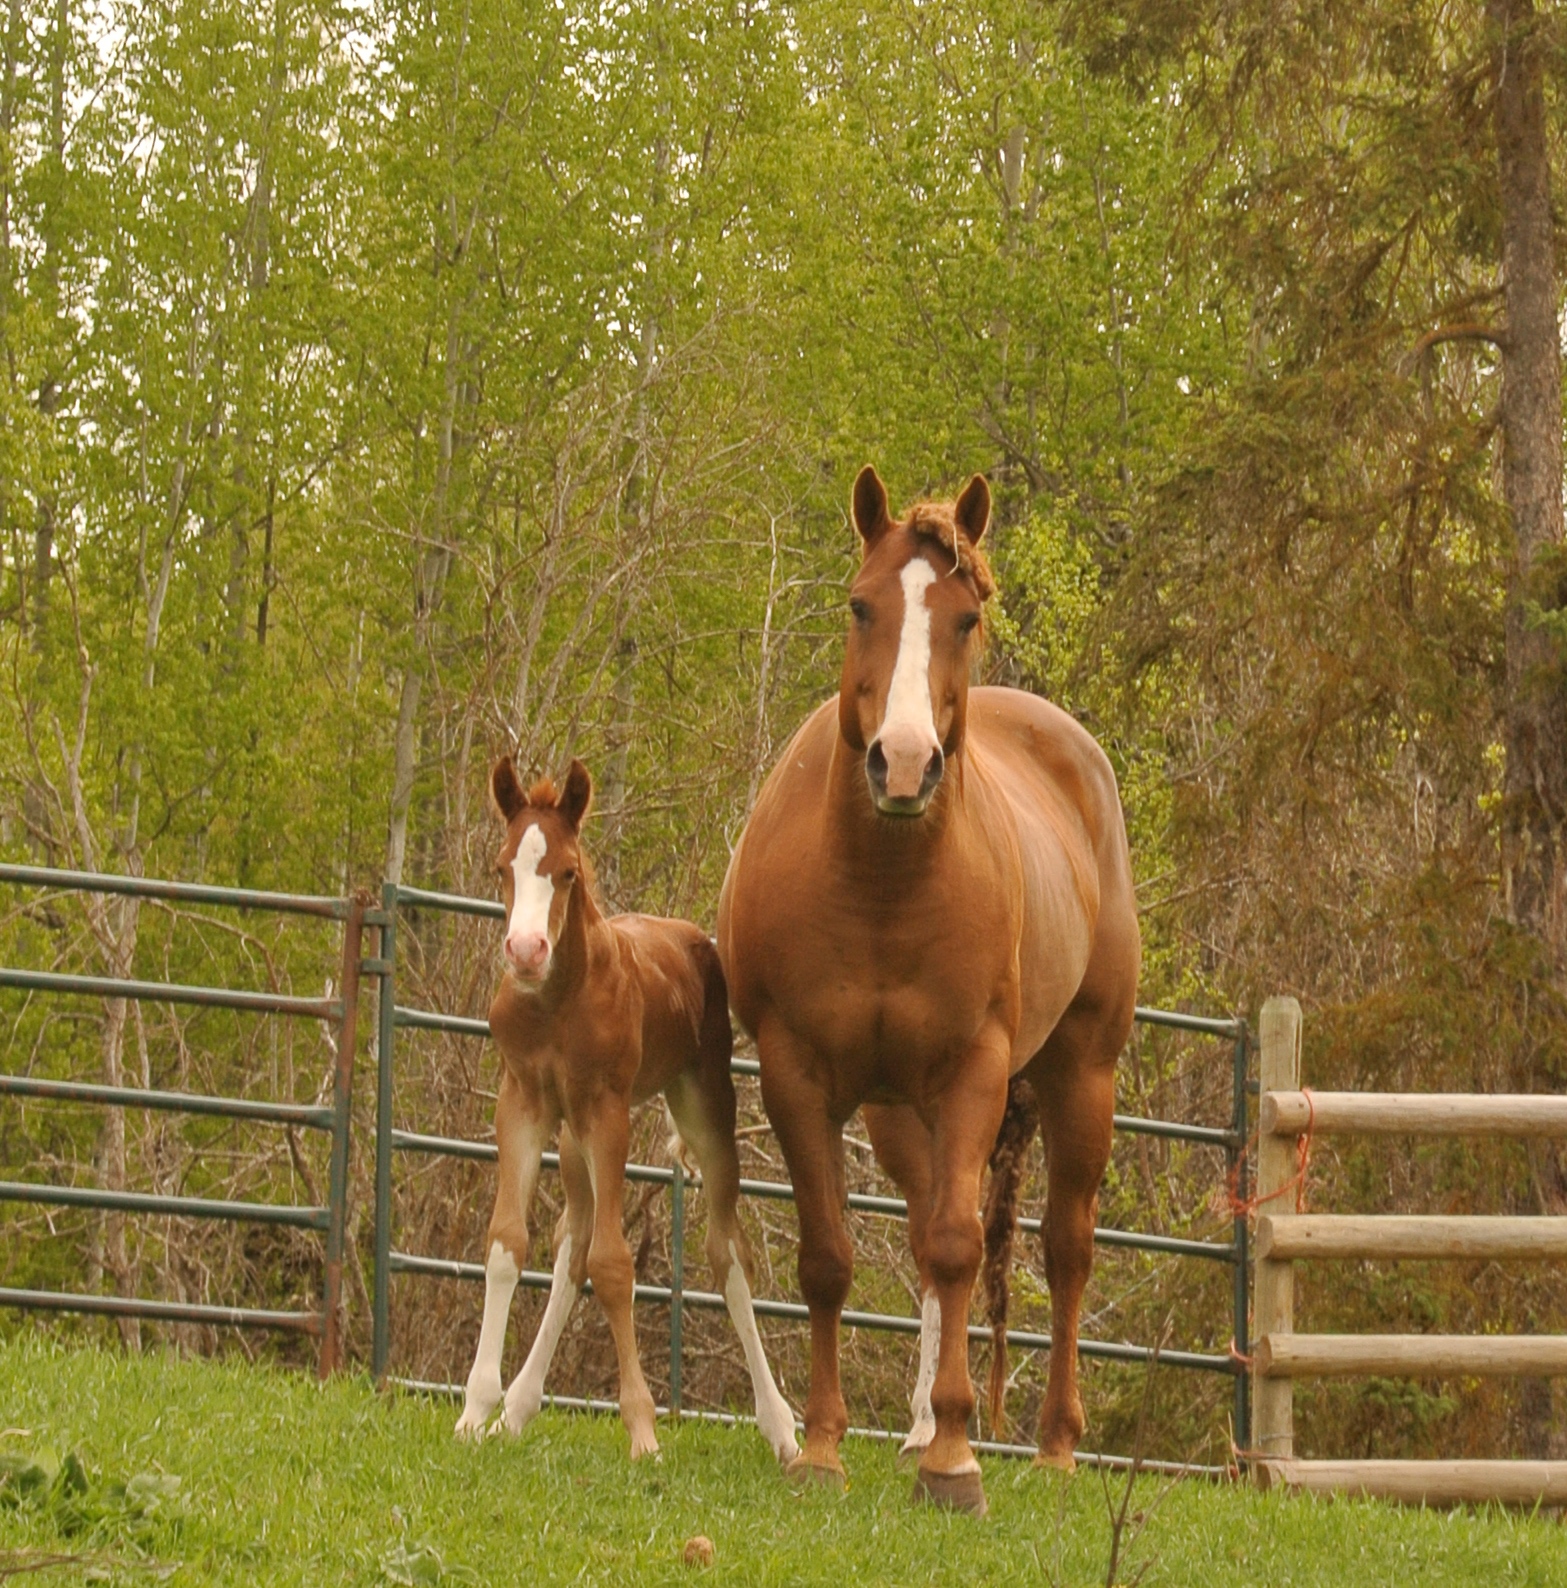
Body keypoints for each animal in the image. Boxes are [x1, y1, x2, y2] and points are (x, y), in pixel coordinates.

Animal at [454, 755, 796, 1460]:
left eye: (567, 872)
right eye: (502, 867)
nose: (524, 951)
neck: (557, 1001)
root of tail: (694, 938)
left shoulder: (609, 1111)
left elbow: (614, 1265)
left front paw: (642, 1430)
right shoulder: (522, 1103)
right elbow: (508, 1243)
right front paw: (475, 1412)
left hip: (702, 1112)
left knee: (728, 1254)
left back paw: (781, 1427)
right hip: (572, 1138)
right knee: (572, 1240)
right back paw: (516, 1411)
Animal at [720, 466, 1136, 1511]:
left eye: (965, 618)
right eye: (859, 605)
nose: (903, 764)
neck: (881, 884)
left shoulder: (972, 1074)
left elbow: (956, 1247)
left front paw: (955, 1463)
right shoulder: (797, 1077)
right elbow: (829, 1259)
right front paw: (824, 1447)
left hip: (1082, 1078)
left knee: (1063, 1250)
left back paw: (1049, 1447)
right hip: (896, 1112)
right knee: (920, 1241)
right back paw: (914, 1431)